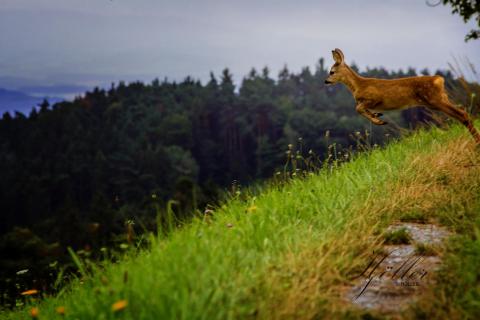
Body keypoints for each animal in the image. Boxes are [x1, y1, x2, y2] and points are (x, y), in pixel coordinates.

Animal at [322, 48, 480, 144]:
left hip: (435, 99)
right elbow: (362, 109)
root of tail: (439, 79)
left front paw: (378, 120)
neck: (358, 86)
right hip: (438, 99)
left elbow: (358, 108)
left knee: (462, 114)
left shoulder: (374, 98)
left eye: (331, 72)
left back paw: (476, 141)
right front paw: (377, 116)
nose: (325, 81)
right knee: (461, 113)